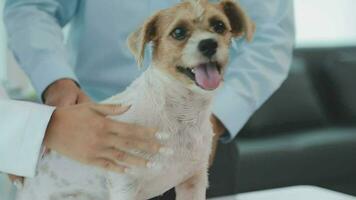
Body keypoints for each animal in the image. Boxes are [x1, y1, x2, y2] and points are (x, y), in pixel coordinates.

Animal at [14, 0, 253, 199]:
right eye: (178, 32)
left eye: (219, 26)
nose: (209, 44)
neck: (181, 113)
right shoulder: (124, 183)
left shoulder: (194, 180)